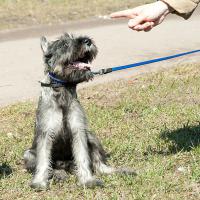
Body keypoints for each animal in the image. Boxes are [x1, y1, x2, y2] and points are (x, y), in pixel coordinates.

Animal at [23, 33, 134, 191]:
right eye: (63, 44)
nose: (87, 41)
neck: (62, 90)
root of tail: (64, 164)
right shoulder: (46, 133)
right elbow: (44, 161)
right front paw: (39, 183)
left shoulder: (78, 130)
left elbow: (82, 157)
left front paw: (87, 180)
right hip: (28, 154)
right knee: (51, 167)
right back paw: (59, 174)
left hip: (91, 137)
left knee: (99, 166)